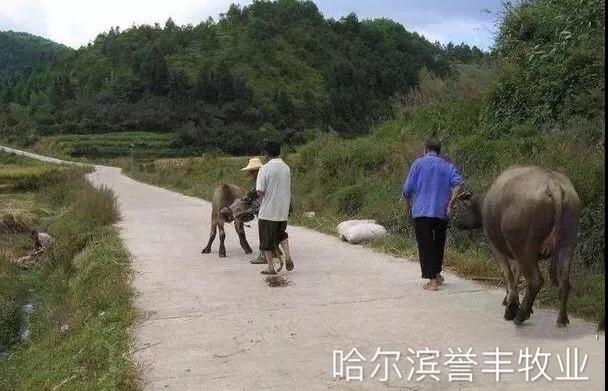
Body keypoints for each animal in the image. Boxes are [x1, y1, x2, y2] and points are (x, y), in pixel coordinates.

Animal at [454, 166, 580, 328]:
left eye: (461, 208)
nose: (455, 221)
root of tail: (554, 186)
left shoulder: (497, 248)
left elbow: (507, 273)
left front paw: (511, 303)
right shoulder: (515, 254)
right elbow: (517, 273)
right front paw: (514, 301)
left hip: (525, 249)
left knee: (535, 280)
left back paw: (520, 315)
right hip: (567, 244)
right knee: (564, 281)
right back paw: (561, 319)